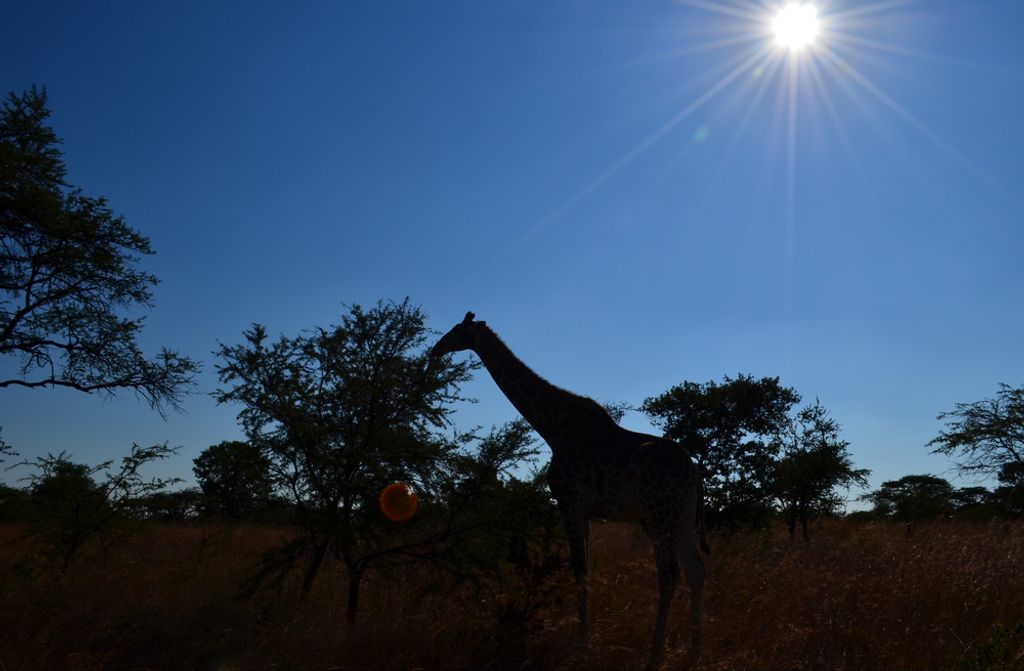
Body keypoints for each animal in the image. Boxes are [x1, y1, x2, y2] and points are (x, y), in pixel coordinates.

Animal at [431, 312, 709, 670]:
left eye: (457, 330)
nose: (435, 349)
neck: (551, 427)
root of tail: (694, 473)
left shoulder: (569, 502)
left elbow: (579, 573)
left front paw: (582, 648)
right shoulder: (585, 510)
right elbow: (585, 572)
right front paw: (584, 643)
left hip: (657, 514)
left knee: (670, 573)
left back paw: (654, 656)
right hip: (683, 515)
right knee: (696, 571)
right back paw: (694, 653)